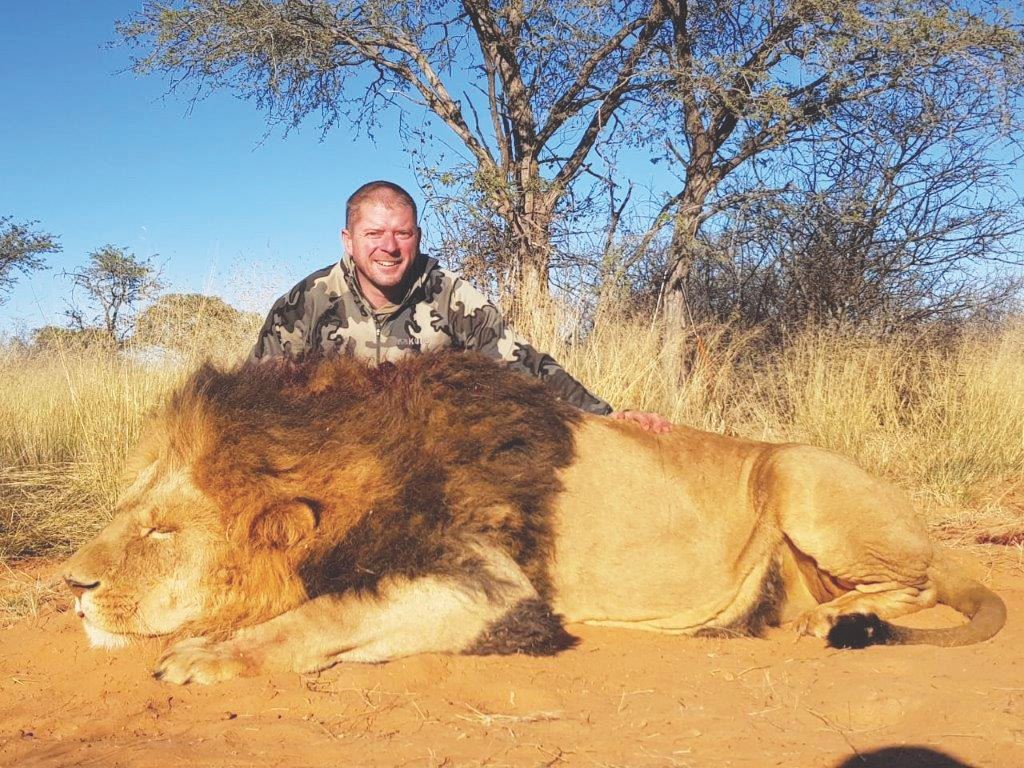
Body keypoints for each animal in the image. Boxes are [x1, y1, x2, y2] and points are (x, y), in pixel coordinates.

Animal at [63, 352, 1005, 684]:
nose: (72, 587)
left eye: (161, 531)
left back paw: (836, 621)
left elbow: (324, 614)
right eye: (129, 513)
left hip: (800, 471)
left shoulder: (494, 589)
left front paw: (206, 656)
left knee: (918, 583)